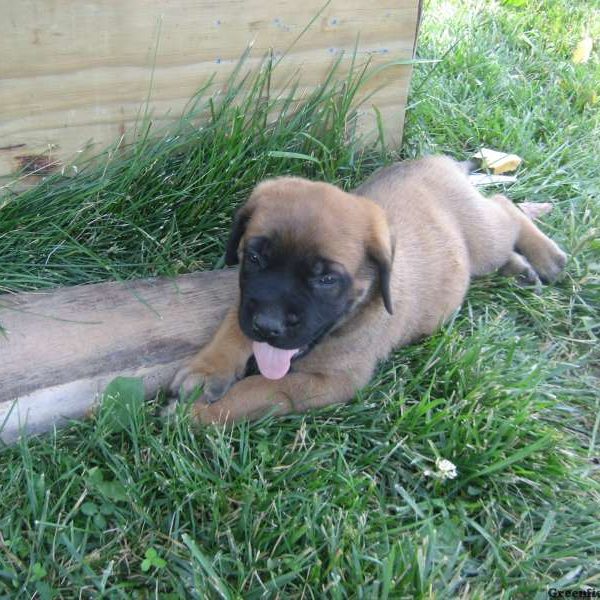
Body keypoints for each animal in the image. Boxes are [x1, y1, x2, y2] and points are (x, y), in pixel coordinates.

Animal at [169, 157, 568, 424]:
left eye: (326, 280)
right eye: (253, 257)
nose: (268, 326)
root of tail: (438, 160)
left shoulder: (332, 382)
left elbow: (260, 391)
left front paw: (201, 415)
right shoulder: (246, 302)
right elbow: (232, 330)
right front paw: (207, 371)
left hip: (484, 240)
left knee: (505, 208)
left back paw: (546, 256)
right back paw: (519, 269)